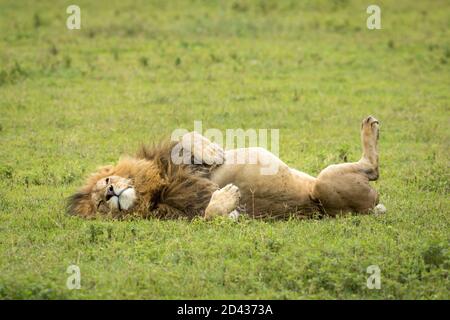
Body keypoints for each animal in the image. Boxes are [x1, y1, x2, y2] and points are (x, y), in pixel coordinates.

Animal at [67, 115, 386, 220]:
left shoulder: (179, 162)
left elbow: (186, 136)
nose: (109, 192)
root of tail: (372, 208)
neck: (155, 189)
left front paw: (212, 150)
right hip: (325, 186)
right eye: (99, 204)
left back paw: (369, 128)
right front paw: (227, 196)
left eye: (106, 180)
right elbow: (212, 213)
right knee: (372, 169)